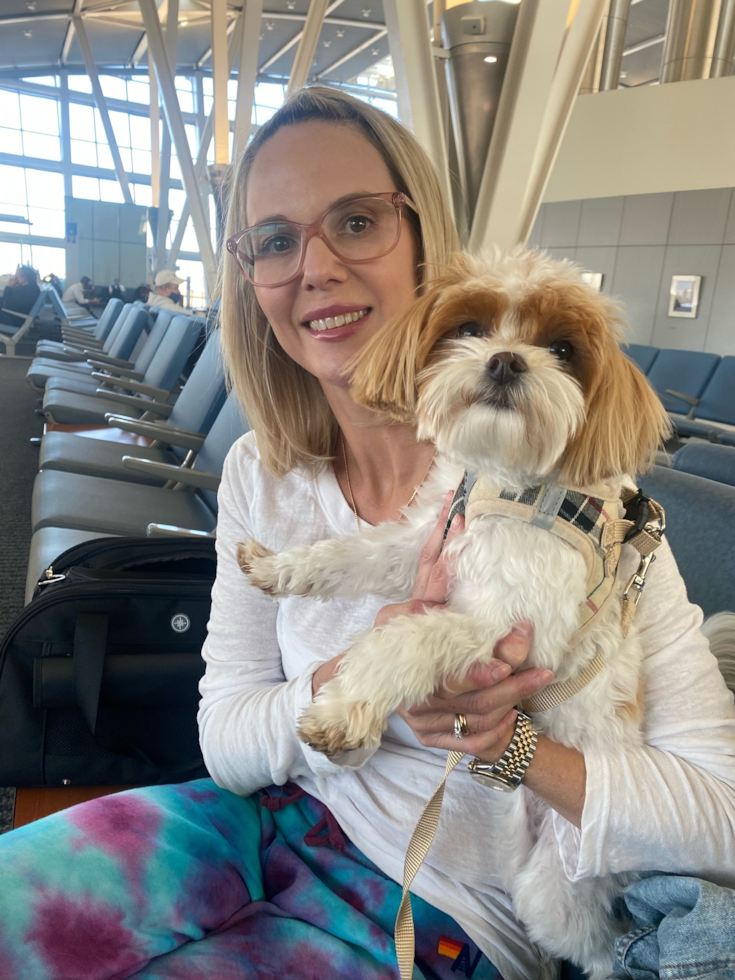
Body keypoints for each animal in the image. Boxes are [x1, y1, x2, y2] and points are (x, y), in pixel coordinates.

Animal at [240, 249, 672, 976]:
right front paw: (280, 568)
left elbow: (407, 640)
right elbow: (352, 554)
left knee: (602, 948)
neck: (508, 481)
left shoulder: (511, 628)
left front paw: (343, 710)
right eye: (469, 327)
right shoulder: (423, 539)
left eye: (562, 349)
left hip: (556, 888)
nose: (505, 361)